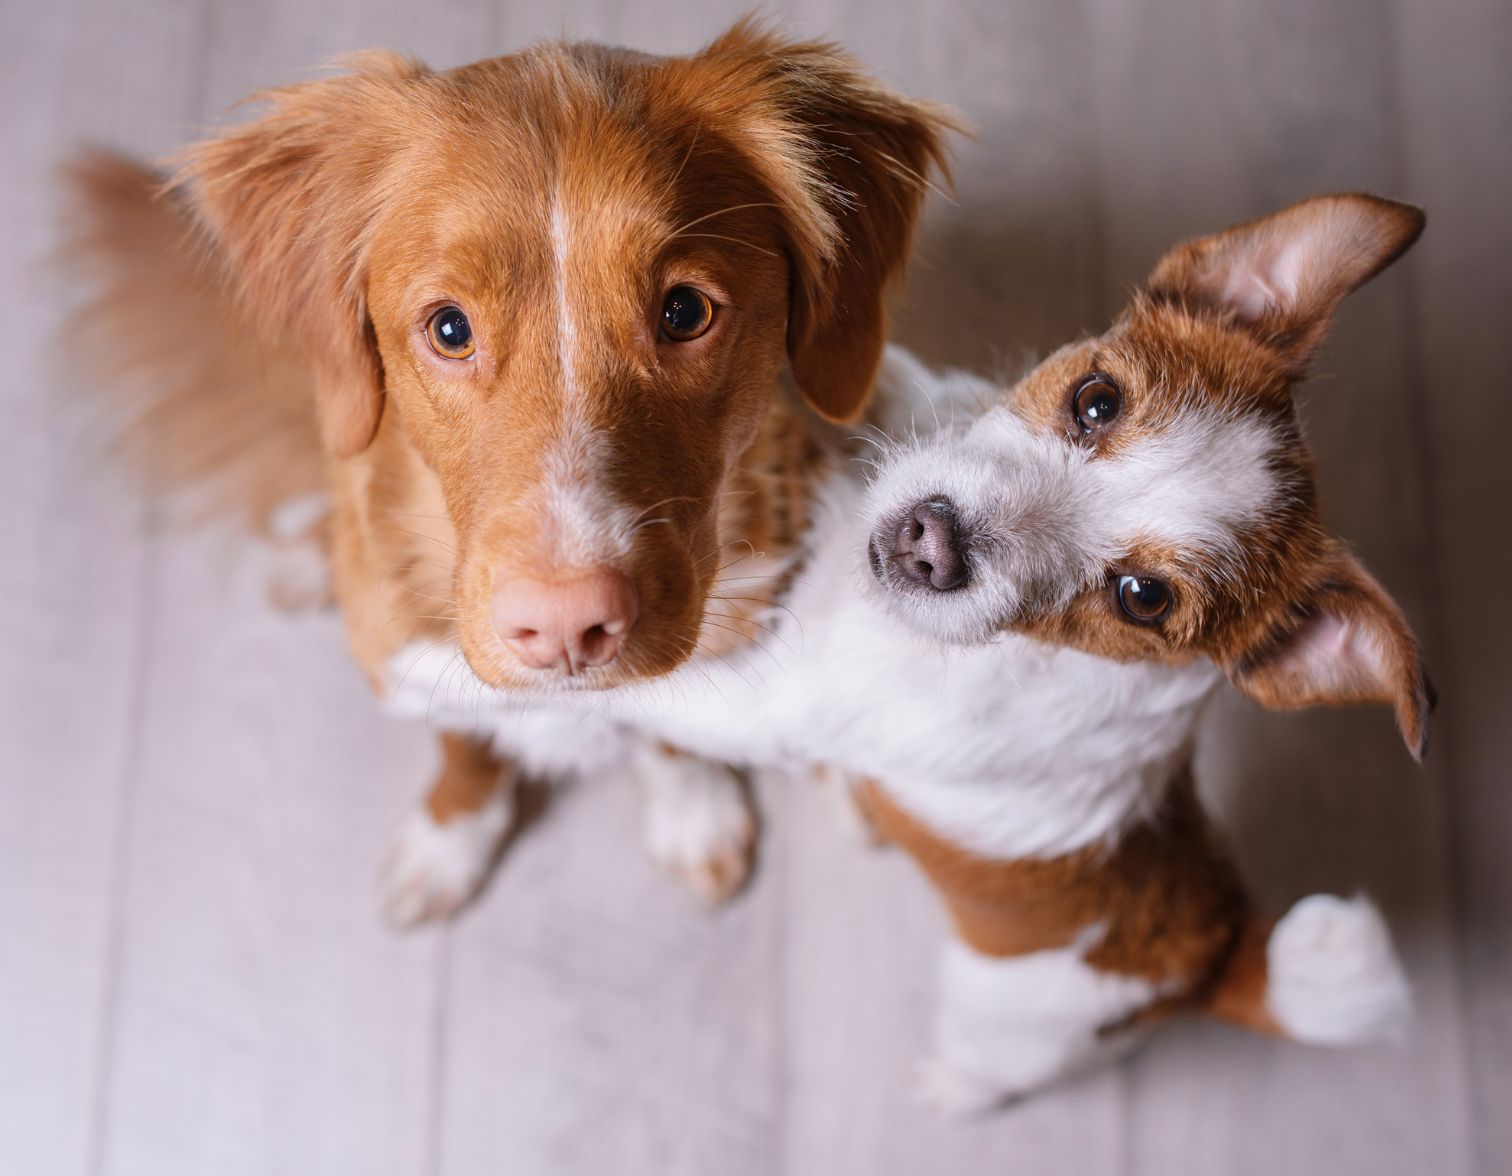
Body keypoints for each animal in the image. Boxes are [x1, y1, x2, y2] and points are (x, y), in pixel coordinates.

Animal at [71, 13, 949, 919]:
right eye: (449, 328)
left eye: (684, 311)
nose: (566, 627)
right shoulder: (415, 668)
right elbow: (465, 751)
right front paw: (450, 839)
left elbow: (671, 733)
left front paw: (691, 812)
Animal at [399, 192, 1427, 1106]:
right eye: (1097, 401)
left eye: (1142, 598)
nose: (931, 542)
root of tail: (1219, 949)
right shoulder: (923, 406)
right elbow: (885, 379)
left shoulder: (773, 703)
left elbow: (634, 686)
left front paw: (448, 671)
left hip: (1014, 1029)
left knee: (995, 1077)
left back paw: (945, 1087)